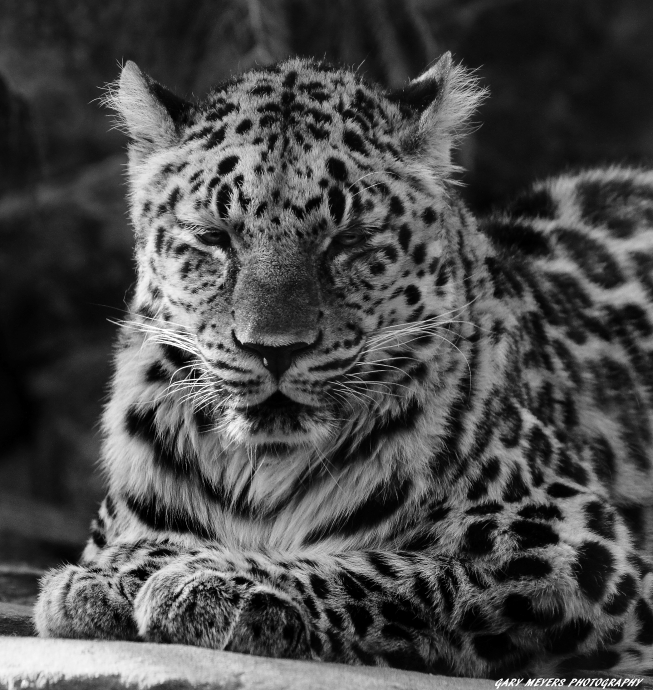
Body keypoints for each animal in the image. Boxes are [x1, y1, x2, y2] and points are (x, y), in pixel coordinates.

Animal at [34, 52, 653, 679]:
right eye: (214, 237)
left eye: (349, 240)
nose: (274, 348)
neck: (262, 470)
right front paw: (112, 576)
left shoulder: (577, 549)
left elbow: (398, 572)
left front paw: (222, 583)